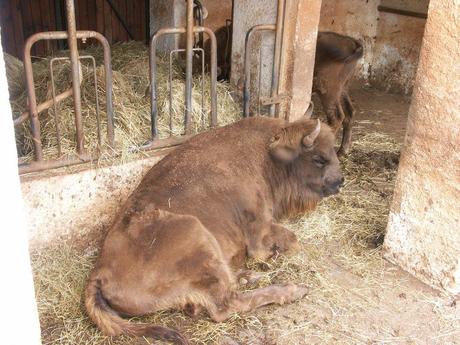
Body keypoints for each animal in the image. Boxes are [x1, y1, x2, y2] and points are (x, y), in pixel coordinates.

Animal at [84, 114, 344, 342]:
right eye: (319, 158)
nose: (340, 182)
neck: (267, 156)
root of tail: (99, 272)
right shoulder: (260, 232)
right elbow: (291, 242)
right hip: (195, 231)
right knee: (226, 304)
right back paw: (293, 290)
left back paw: (248, 277)